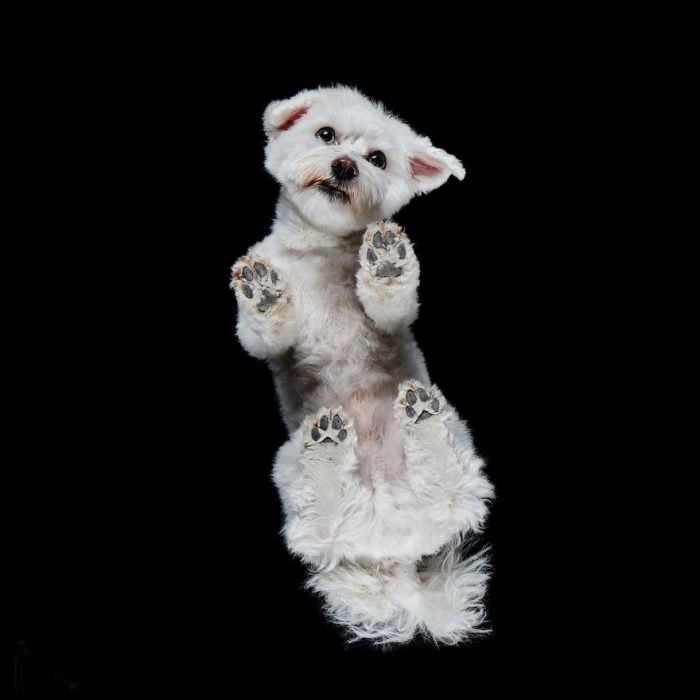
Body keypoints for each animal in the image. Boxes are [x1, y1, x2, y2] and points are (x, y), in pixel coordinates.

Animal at [230, 87, 492, 644]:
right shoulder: (262, 340)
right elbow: (264, 331)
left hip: (457, 445)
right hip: (291, 468)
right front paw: (265, 292)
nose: (346, 165)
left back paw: (419, 419)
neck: (320, 247)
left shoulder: (395, 317)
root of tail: (392, 551)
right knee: (323, 515)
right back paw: (332, 443)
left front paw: (386, 262)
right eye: (326, 134)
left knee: (451, 490)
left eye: (378, 160)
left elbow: (391, 302)